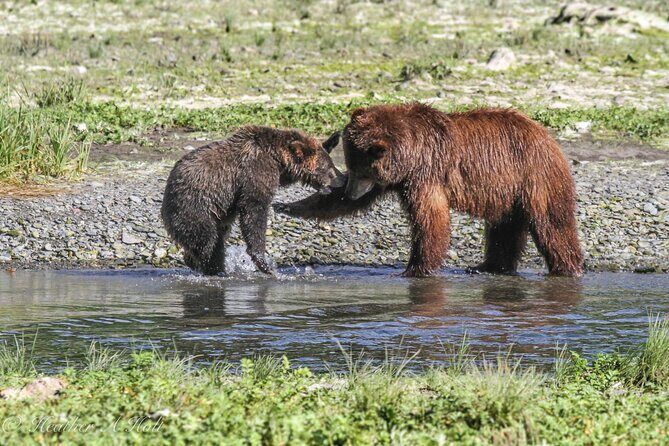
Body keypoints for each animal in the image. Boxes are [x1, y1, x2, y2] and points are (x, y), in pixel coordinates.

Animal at [161, 125, 343, 276]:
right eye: (329, 169)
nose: (340, 181)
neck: (278, 160)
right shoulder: (255, 172)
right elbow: (254, 210)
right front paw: (264, 263)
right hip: (195, 207)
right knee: (207, 241)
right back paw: (212, 268)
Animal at [274, 103, 584, 278]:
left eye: (363, 171)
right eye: (350, 165)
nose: (350, 191)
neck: (409, 153)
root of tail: (549, 137)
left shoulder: (426, 173)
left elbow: (430, 219)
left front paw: (414, 268)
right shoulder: (396, 178)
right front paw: (288, 206)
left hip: (535, 178)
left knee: (552, 225)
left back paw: (567, 267)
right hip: (507, 193)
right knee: (503, 230)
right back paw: (489, 266)